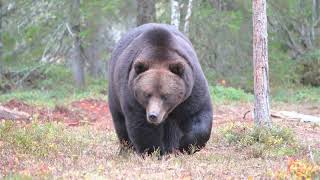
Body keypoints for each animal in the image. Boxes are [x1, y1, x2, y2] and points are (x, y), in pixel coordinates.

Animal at [108, 22, 212, 155]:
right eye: (147, 94)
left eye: (165, 95)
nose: (153, 115)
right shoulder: (132, 95)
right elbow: (142, 126)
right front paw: (154, 151)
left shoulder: (191, 89)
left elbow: (197, 114)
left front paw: (185, 145)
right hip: (114, 93)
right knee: (120, 122)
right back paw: (127, 149)